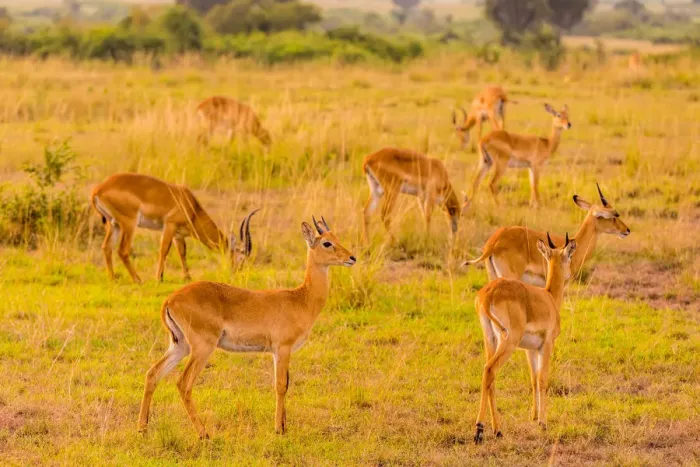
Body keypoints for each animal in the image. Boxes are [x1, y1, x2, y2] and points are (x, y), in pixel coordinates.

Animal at [91, 173, 258, 283]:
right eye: (241, 256)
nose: (238, 273)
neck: (191, 207)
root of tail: (98, 189)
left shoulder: (179, 234)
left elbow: (182, 253)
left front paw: (187, 277)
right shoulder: (169, 226)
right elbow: (164, 250)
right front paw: (159, 278)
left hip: (114, 224)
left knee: (106, 247)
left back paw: (112, 279)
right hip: (128, 224)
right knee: (122, 250)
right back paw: (138, 280)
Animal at [137, 217, 356, 438]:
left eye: (337, 238)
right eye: (326, 243)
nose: (352, 258)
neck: (301, 299)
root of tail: (170, 299)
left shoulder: (276, 352)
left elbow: (285, 383)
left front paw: (284, 425)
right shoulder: (283, 348)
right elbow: (281, 386)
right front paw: (278, 429)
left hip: (180, 345)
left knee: (153, 373)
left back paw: (142, 428)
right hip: (202, 347)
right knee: (183, 383)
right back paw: (204, 434)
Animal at [473, 232, 576, 444]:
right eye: (569, 256)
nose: (570, 274)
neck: (549, 298)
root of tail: (488, 295)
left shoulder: (531, 349)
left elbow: (534, 379)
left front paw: (534, 417)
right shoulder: (546, 345)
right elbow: (543, 379)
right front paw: (543, 423)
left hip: (491, 339)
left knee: (489, 376)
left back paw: (496, 430)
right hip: (508, 341)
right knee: (490, 370)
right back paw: (480, 430)